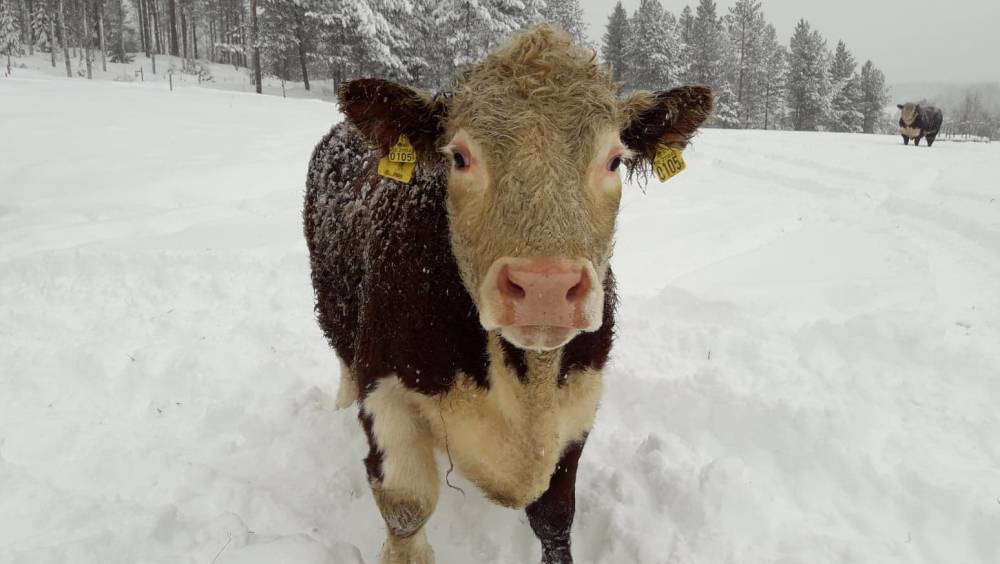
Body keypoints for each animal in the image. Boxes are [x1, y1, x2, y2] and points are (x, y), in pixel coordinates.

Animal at [300, 25, 716, 564]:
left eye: (614, 159)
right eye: (459, 156)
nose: (545, 286)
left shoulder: (578, 402)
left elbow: (555, 517)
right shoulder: (385, 391)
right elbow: (407, 510)